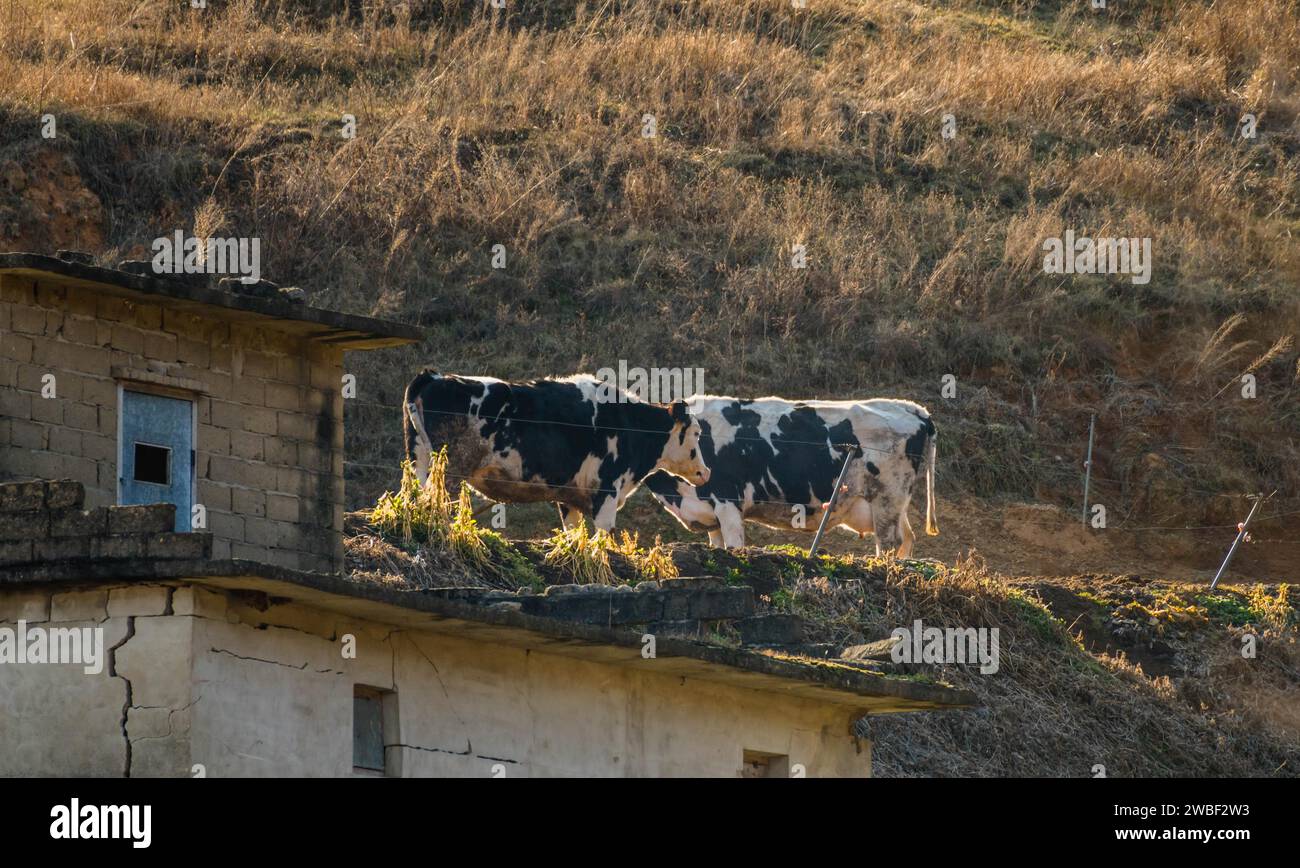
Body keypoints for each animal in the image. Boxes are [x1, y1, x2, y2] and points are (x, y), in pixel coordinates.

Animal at [405, 371, 712, 530]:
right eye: (696, 433)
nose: (705, 472)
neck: (631, 423)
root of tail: (435, 376)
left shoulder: (570, 497)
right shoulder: (607, 492)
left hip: (419, 462)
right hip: (448, 471)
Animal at [647, 395, 935, 553]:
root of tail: (913, 408)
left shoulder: (728, 500)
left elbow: (734, 546)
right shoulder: (708, 509)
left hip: (887, 498)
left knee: (889, 543)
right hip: (894, 505)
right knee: (907, 540)